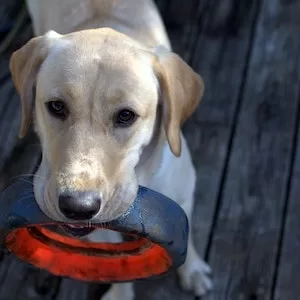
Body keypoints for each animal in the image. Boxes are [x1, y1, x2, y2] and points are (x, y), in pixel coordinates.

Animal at [8, 0, 211, 298]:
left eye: (126, 116)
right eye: (56, 106)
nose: (78, 207)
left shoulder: (185, 193)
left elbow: (190, 236)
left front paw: (194, 270)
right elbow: (118, 263)